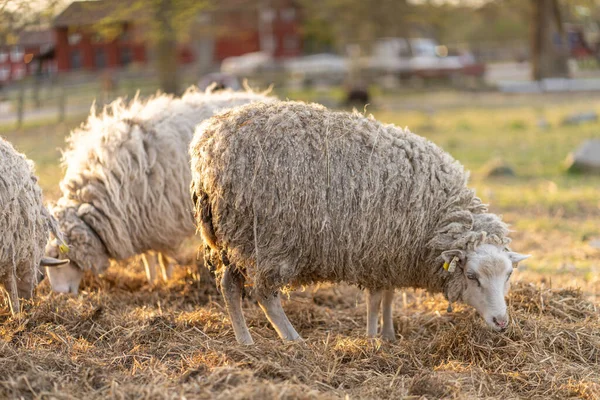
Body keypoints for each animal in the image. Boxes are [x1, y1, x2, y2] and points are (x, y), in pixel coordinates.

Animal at [44, 88, 274, 294]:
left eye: (60, 256)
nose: (59, 294)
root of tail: (262, 96)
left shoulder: (160, 220)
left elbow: (161, 256)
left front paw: (164, 277)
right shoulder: (140, 222)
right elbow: (148, 257)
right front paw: (151, 279)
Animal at [189, 101, 528, 346]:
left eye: (509, 275)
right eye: (471, 276)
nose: (501, 322)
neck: (436, 215)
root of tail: (207, 146)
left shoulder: (392, 255)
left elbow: (389, 295)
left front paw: (389, 335)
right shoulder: (377, 252)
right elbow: (376, 300)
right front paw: (373, 337)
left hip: (232, 236)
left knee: (229, 286)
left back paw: (244, 341)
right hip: (268, 238)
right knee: (265, 295)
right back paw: (293, 340)